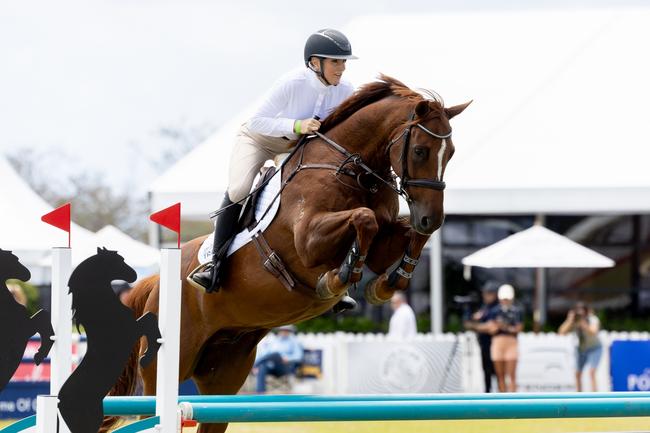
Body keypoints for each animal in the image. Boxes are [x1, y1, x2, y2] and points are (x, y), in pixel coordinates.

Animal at [58, 248, 161, 432]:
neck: (103, 310)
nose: (134, 274)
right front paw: (146, 357)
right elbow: (150, 320)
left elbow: (150, 320)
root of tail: (59, 402)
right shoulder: (132, 330)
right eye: (118, 261)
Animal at [102, 75, 466, 432]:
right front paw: (338, 280)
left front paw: (385, 284)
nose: (431, 217)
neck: (350, 169)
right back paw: (209, 274)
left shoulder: (382, 241)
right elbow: (365, 218)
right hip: (166, 366)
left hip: (224, 374)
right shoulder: (309, 240)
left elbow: (406, 234)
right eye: (420, 150)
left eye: (450, 154)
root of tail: (154, 283)